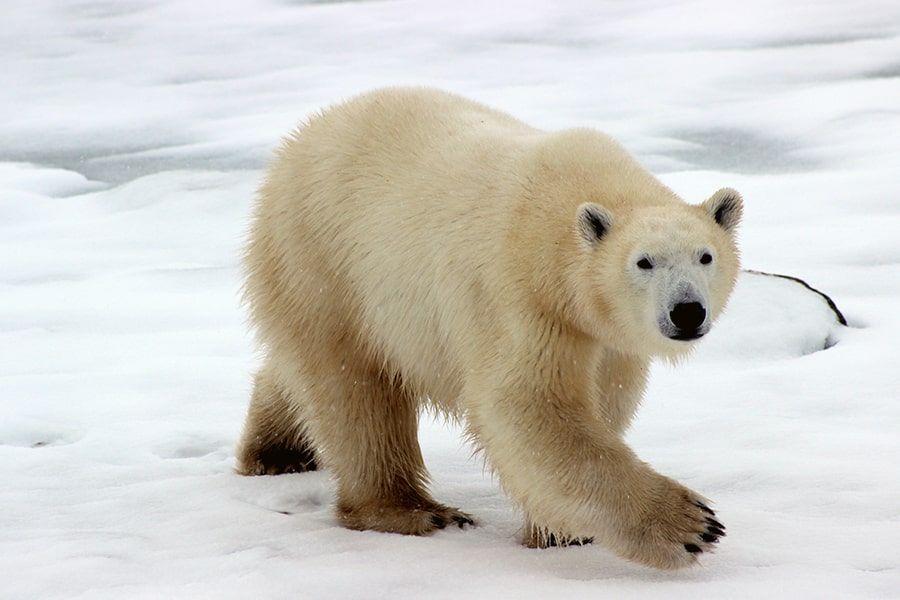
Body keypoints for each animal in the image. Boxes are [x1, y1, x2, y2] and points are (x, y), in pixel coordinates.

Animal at [236, 86, 740, 568]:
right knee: (355, 391)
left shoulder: (605, 336)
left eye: (705, 256)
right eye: (644, 262)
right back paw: (413, 510)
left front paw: (559, 531)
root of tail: (299, 139)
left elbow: (605, 398)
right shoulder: (521, 297)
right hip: (323, 259)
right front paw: (692, 525)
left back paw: (277, 451)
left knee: (301, 372)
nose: (687, 311)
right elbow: (526, 406)